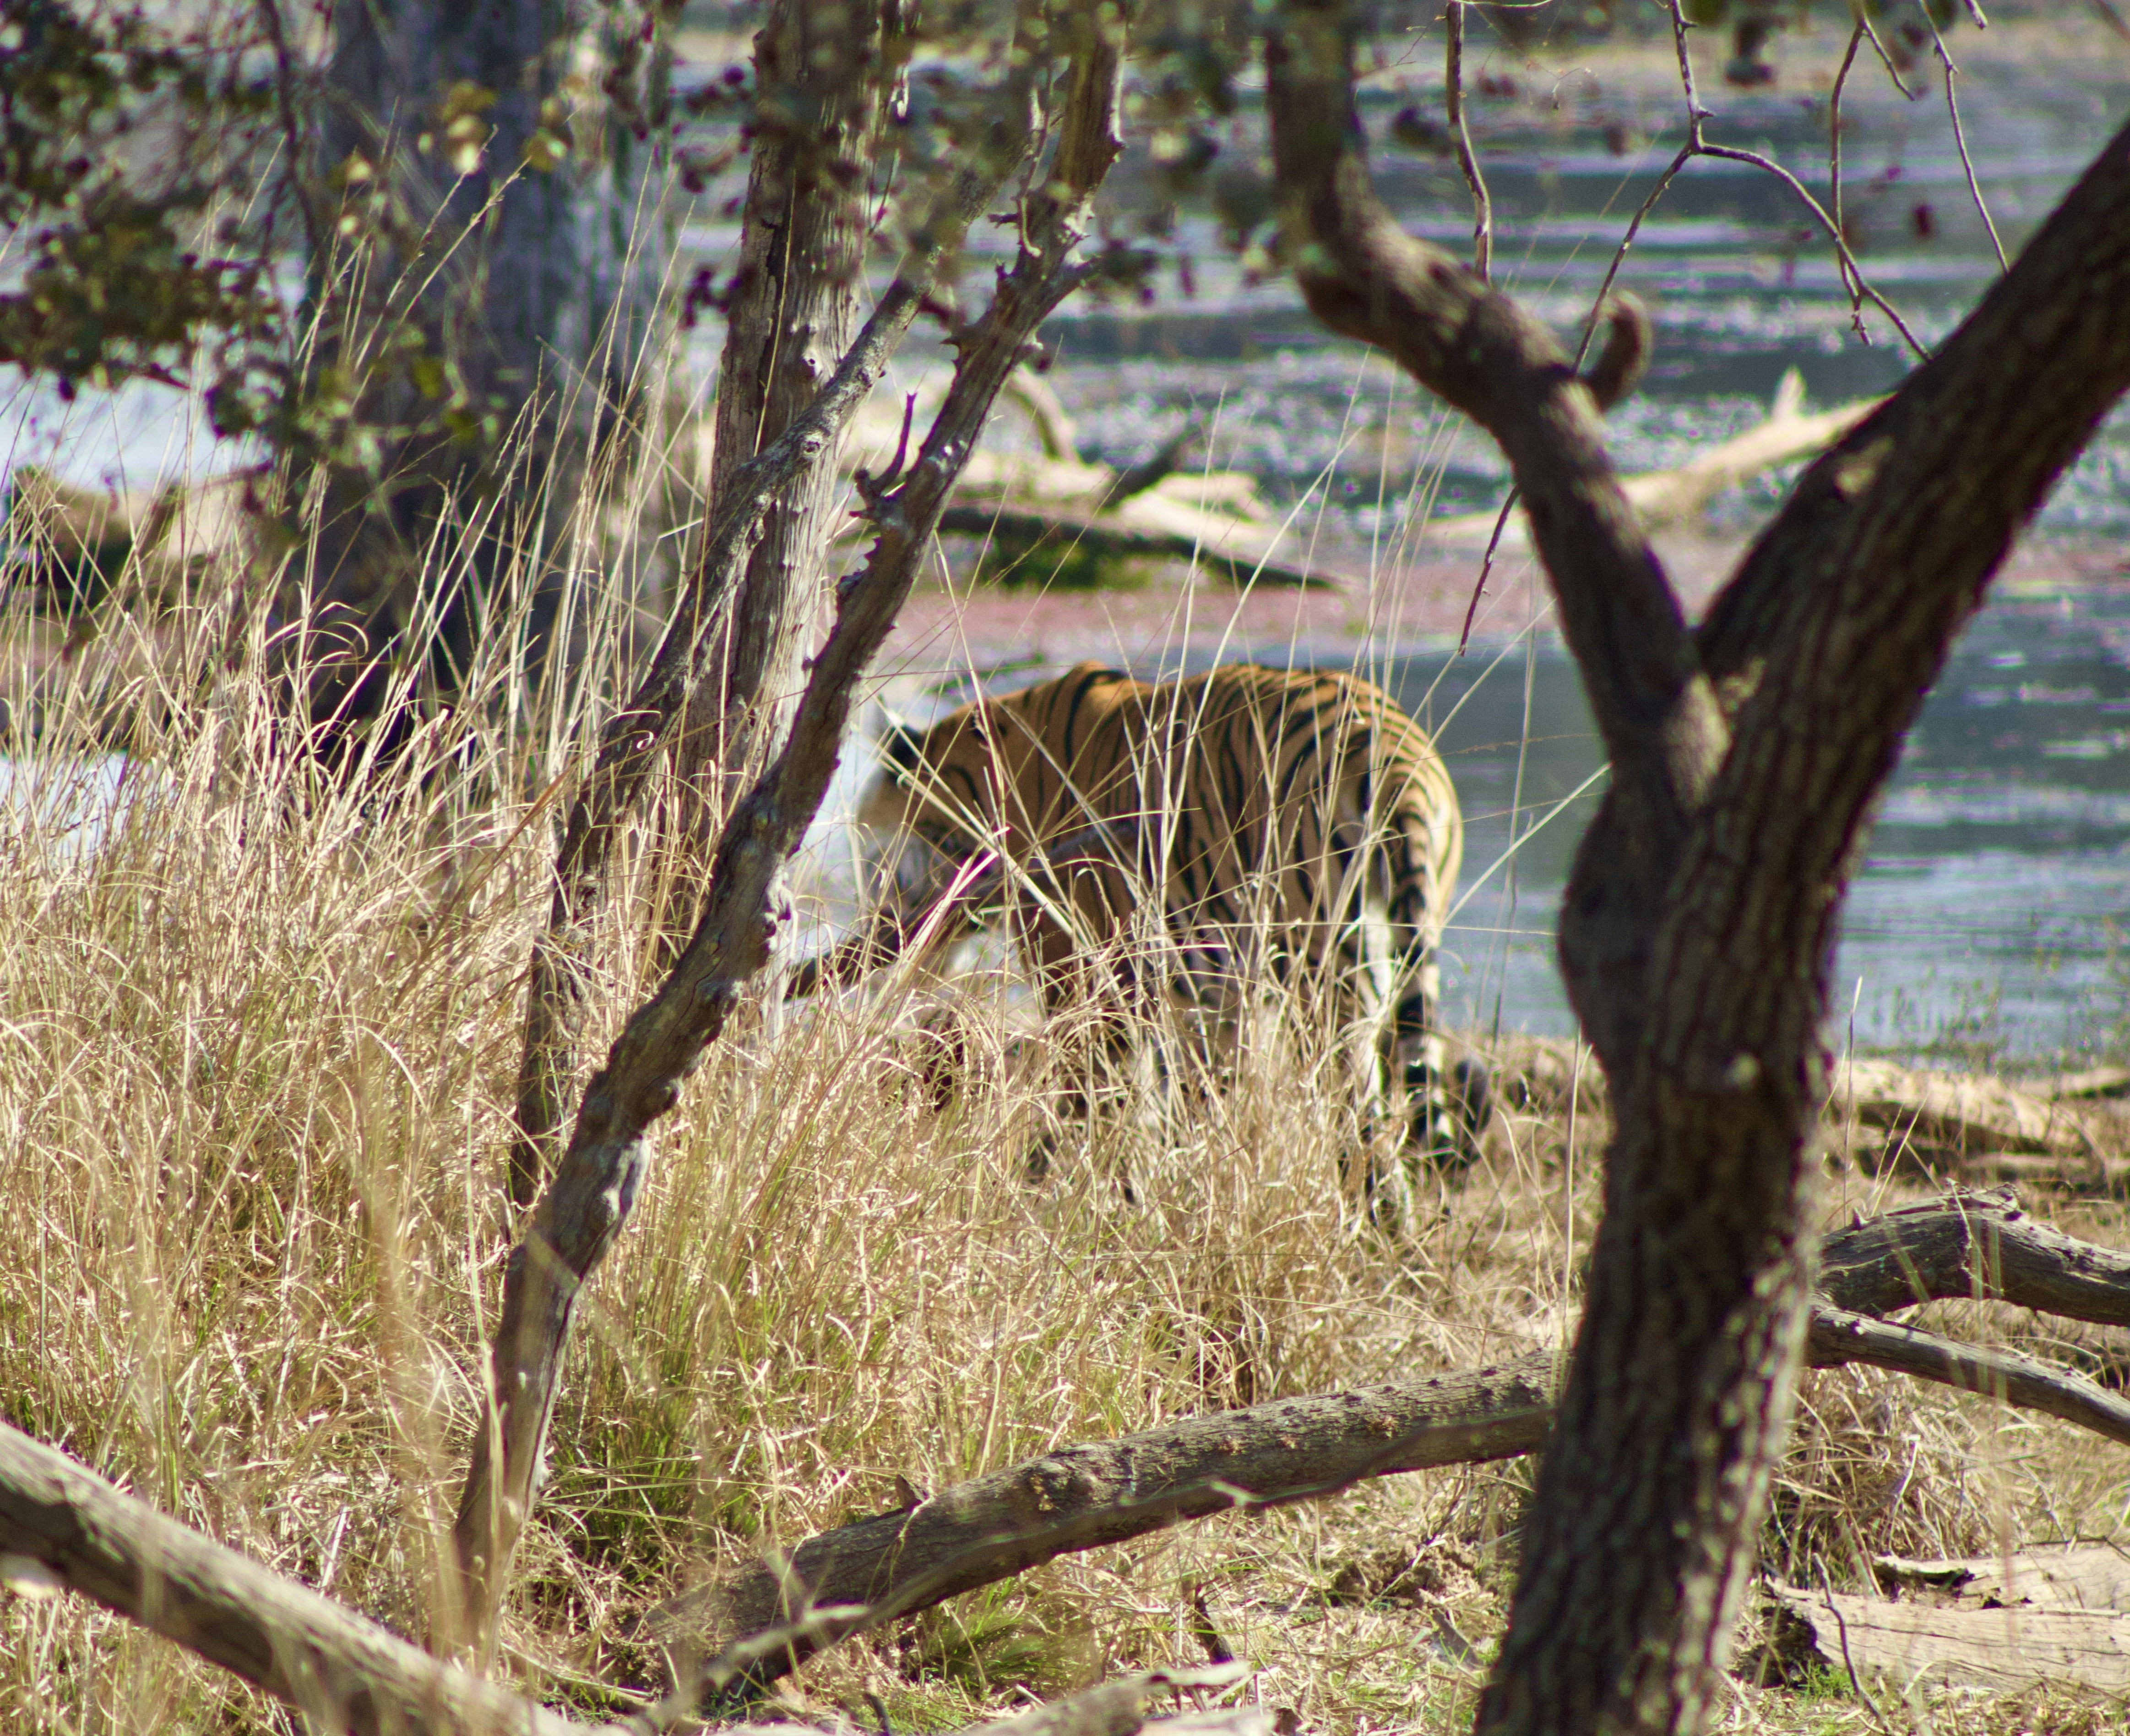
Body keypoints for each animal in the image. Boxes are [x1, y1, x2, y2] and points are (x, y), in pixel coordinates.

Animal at [832, 660, 1487, 1191]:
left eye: (866, 850)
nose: (865, 934)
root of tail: (1394, 757)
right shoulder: (1208, 1002)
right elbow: (1194, 1109)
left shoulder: (1085, 984)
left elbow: (1090, 1111)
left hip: (1319, 980)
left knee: (1364, 1133)